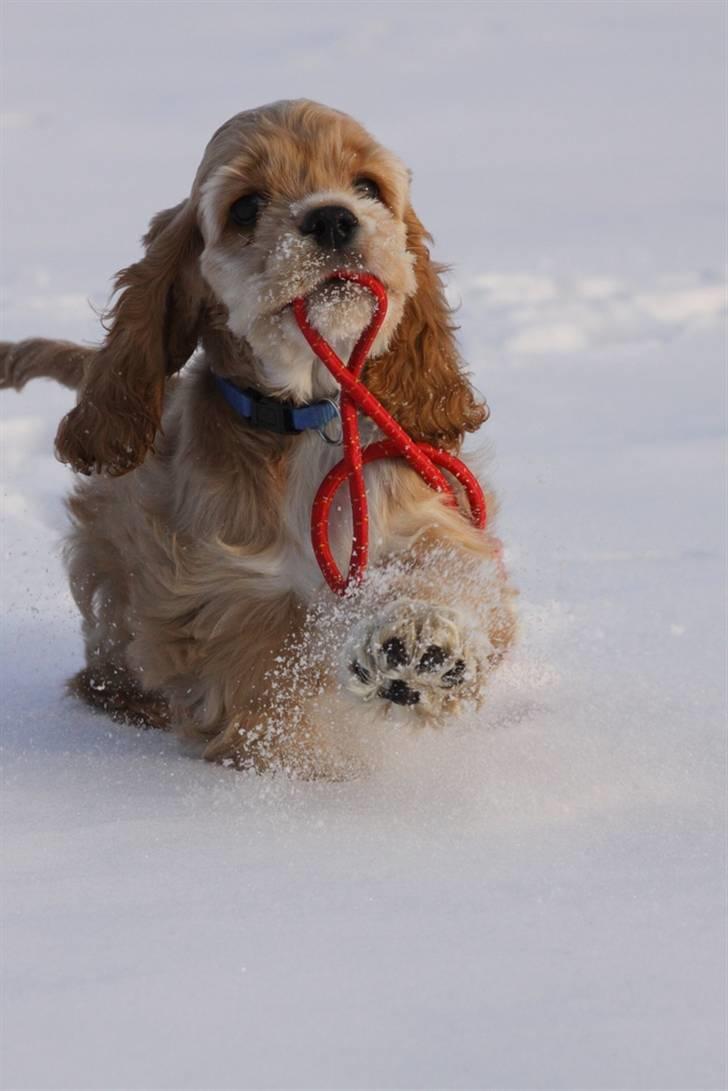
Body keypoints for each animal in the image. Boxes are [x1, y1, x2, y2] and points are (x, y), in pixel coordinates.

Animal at [1, 96, 512, 776]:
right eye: (245, 207)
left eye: (367, 186)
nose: (332, 218)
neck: (311, 419)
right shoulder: (223, 599)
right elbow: (268, 702)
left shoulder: (432, 518)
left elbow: (446, 573)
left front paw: (422, 643)